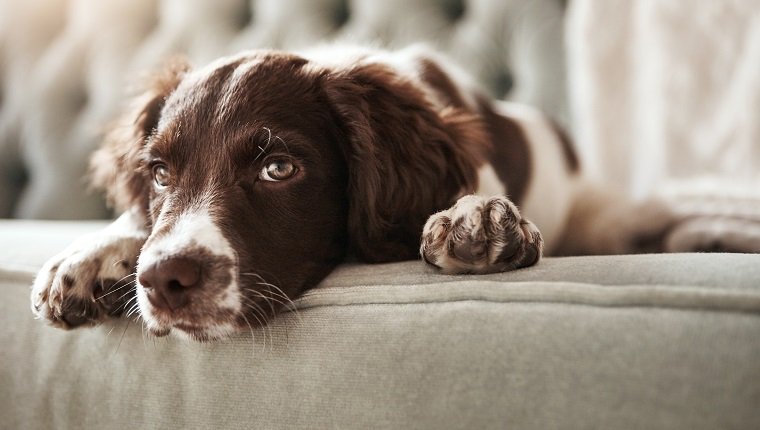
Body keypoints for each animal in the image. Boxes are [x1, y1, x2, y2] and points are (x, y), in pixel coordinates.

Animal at [31, 45, 736, 340]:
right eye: (159, 173)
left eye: (279, 169)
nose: (165, 281)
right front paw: (90, 256)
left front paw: (480, 217)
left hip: (602, 216)